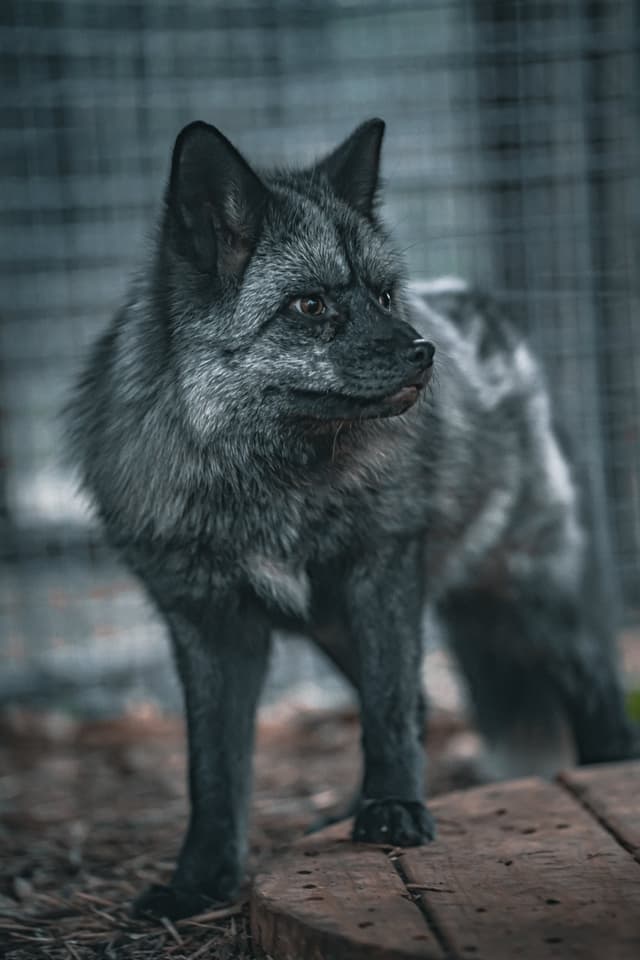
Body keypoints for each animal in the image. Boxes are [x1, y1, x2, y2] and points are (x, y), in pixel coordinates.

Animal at [67, 118, 637, 920]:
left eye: (385, 293)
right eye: (310, 305)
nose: (424, 352)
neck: (270, 490)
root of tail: (481, 306)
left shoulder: (384, 569)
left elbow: (389, 709)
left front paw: (395, 812)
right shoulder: (207, 622)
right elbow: (212, 772)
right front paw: (199, 882)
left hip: (537, 600)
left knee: (597, 697)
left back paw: (603, 773)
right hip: (333, 628)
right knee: (423, 704)